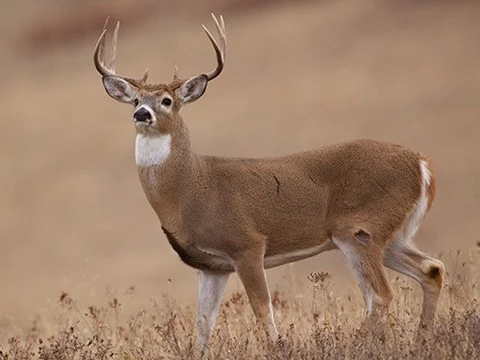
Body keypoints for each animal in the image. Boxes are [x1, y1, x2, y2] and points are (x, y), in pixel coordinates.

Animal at [94, 14, 446, 354]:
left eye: (166, 100)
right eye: (135, 99)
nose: (142, 114)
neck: (189, 188)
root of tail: (423, 164)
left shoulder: (246, 244)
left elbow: (262, 309)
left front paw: (279, 348)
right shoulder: (212, 266)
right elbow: (203, 322)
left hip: (360, 229)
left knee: (380, 295)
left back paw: (357, 345)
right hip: (392, 234)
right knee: (432, 269)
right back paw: (421, 341)